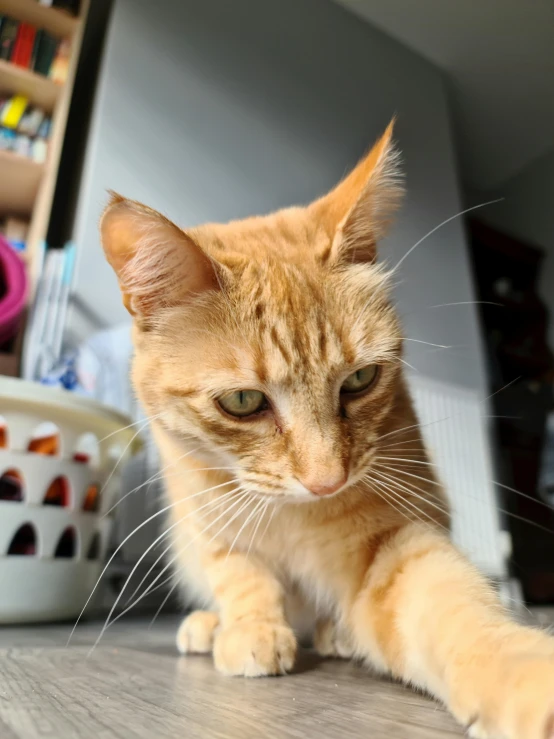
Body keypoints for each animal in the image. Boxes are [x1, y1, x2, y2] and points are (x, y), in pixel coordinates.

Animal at [101, 123, 552, 739]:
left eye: (360, 379)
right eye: (243, 402)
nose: (326, 481)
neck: (290, 516)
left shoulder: (393, 543)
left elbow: (453, 608)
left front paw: (523, 677)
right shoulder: (207, 523)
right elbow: (241, 575)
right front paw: (250, 628)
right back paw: (209, 624)